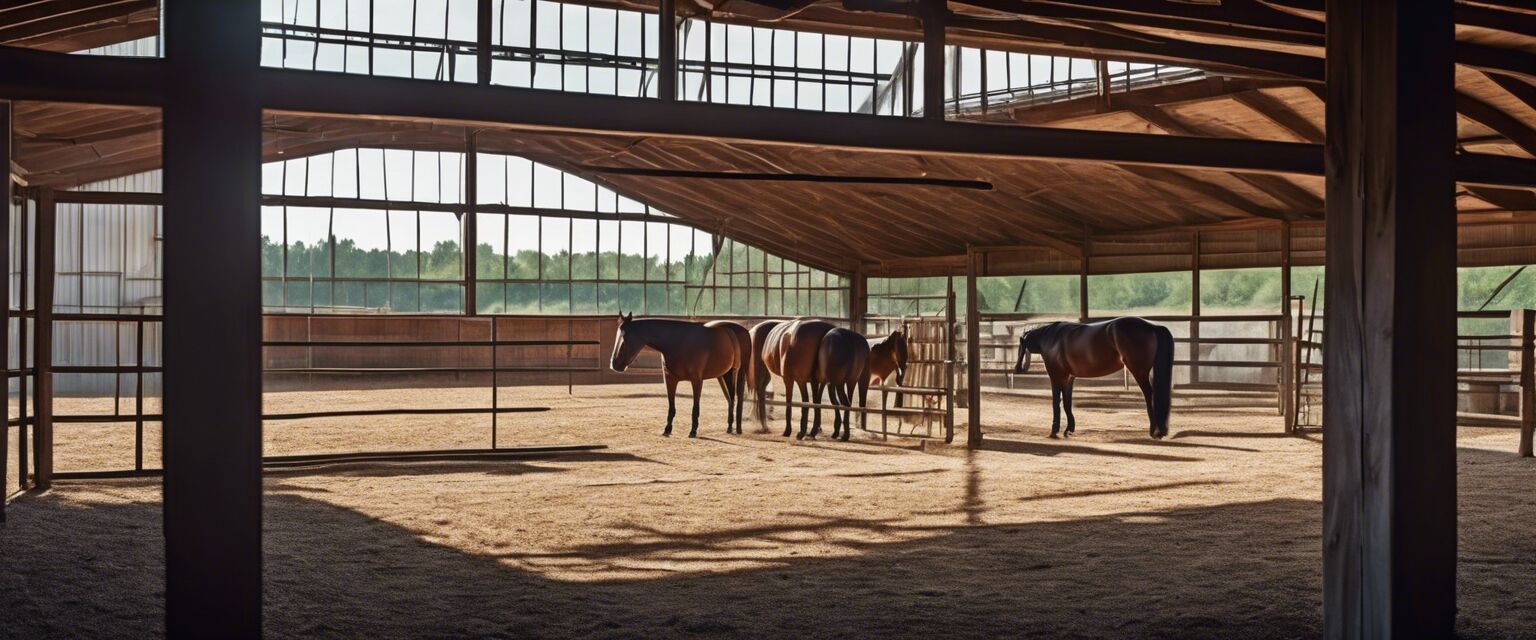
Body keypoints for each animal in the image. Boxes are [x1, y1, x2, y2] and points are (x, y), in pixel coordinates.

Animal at [614, 313, 752, 435]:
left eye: (626, 338)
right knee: (731, 398)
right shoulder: (669, 379)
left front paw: (693, 431)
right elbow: (671, 406)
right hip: (725, 374)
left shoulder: (697, 380)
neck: (678, 342)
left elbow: (695, 407)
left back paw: (737, 428)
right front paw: (667, 429)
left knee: (736, 398)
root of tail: (744, 331)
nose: (614, 363)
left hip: (737, 372)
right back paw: (730, 427)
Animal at [1007, 316, 1173, 435]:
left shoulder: (1056, 377)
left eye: (1021, 347)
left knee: (1149, 395)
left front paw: (1054, 430)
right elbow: (1067, 402)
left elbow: (1056, 402)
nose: (1017, 369)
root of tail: (1152, 327)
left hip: (1139, 371)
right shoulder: (1069, 378)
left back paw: (1153, 430)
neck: (1051, 338)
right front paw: (1069, 429)